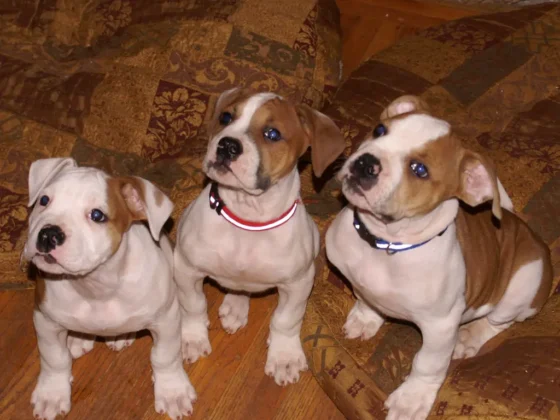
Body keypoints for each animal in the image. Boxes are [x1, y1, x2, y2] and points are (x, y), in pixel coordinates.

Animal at [23, 158, 197, 420]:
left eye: (97, 215)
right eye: (44, 200)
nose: (49, 234)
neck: (96, 285)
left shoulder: (166, 320)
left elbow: (165, 356)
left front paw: (172, 391)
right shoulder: (45, 321)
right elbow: (54, 358)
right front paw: (51, 393)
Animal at [173, 88, 346, 384]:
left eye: (272, 134)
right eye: (226, 117)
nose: (227, 145)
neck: (247, 219)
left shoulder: (299, 283)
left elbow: (286, 319)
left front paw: (284, 356)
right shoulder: (186, 268)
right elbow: (193, 304)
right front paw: (192, 338)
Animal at [324, 96, 552, 420]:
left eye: (419, 169)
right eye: (380, 130)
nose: (366, 162)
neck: (386, 243)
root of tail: (530, 234)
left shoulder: (440, 325)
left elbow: (427, 363)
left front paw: (411, 399)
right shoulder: (359, 281)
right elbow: (365, 297)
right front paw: (366, 318)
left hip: (522, 285)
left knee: (498, 322)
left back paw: (469, 338)